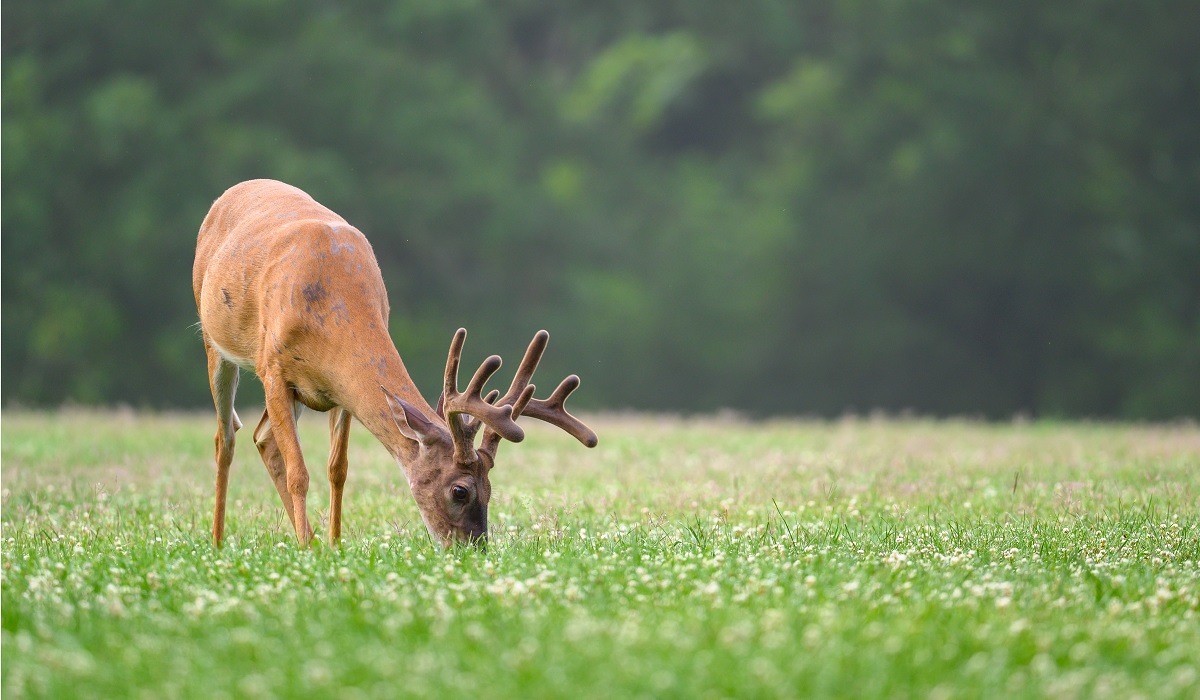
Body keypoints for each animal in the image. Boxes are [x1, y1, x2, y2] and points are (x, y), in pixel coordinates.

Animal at [192, 178, 600, 547]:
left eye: (490, 489)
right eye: (461, 490)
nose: (475, 547)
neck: (328, 312)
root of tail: (229, 193)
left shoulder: (339, 390)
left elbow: (337, 469)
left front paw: (334, 545)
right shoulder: (273, 370)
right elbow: (299, 474)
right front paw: (309, 550)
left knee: (263, 437)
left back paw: (306, 537)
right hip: (214, 342)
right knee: (225, 439)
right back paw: (218, 541)